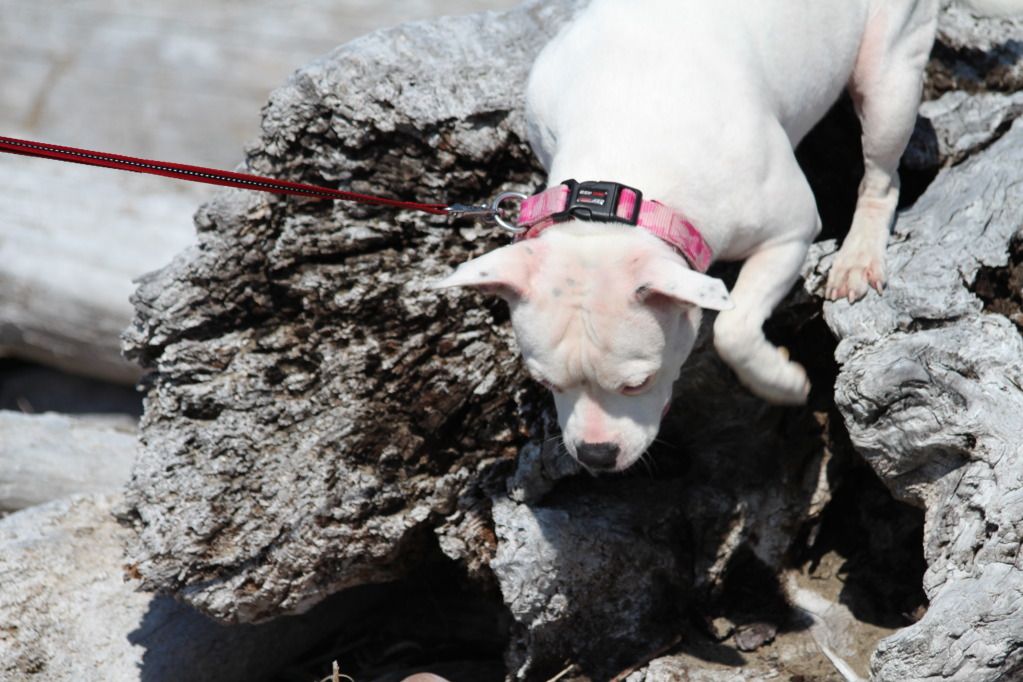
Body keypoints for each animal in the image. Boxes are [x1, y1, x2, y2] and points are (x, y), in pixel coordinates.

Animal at [435, 0, 1018, 472]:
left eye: (638, 382)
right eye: (546, 384)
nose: (596, 456)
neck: (624, 183)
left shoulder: (790, 232)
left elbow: (732, 329)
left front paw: (780, 381)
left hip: (888, 74)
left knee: (882, 172)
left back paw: (858, 255)